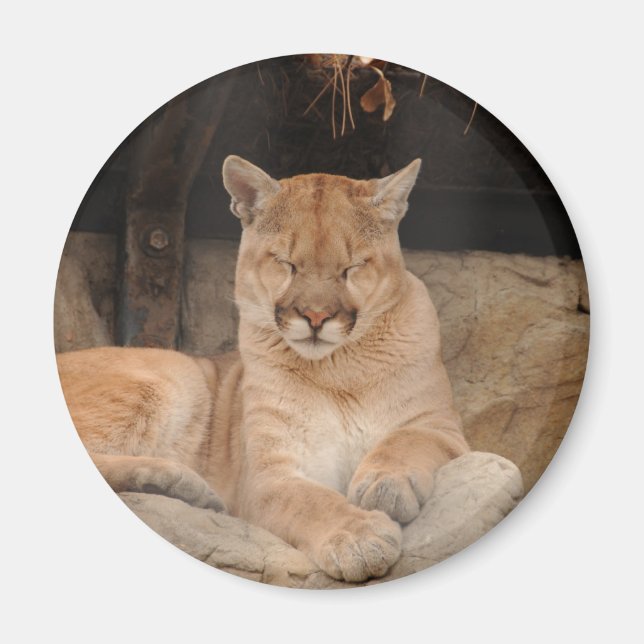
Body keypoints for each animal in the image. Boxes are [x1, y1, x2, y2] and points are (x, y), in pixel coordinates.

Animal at [57, 155, 469, 582]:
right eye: (286, 264)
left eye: (352, 267)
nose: (316, 317)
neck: (338, 370)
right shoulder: (270, 473)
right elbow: (310, 501)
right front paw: (359, 538)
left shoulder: (441, 427)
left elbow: (407, 440)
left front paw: (383, 484)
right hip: (173, 376)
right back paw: (183, 482)